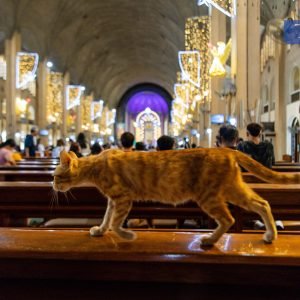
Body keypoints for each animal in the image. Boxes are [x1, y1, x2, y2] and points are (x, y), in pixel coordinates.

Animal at [52, 148, 298, 246]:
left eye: (55, 176)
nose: (52, 185)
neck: (94, 166)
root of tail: (226, 149)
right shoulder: (114, 200)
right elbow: (106, 219)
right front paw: (99, 231)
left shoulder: (122, 198)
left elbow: (115, 222)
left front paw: (128, 235)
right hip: (232, 189)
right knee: (262, 203)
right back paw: (270, 235)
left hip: (209, 196)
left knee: (228, 219)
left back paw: (209, 240)